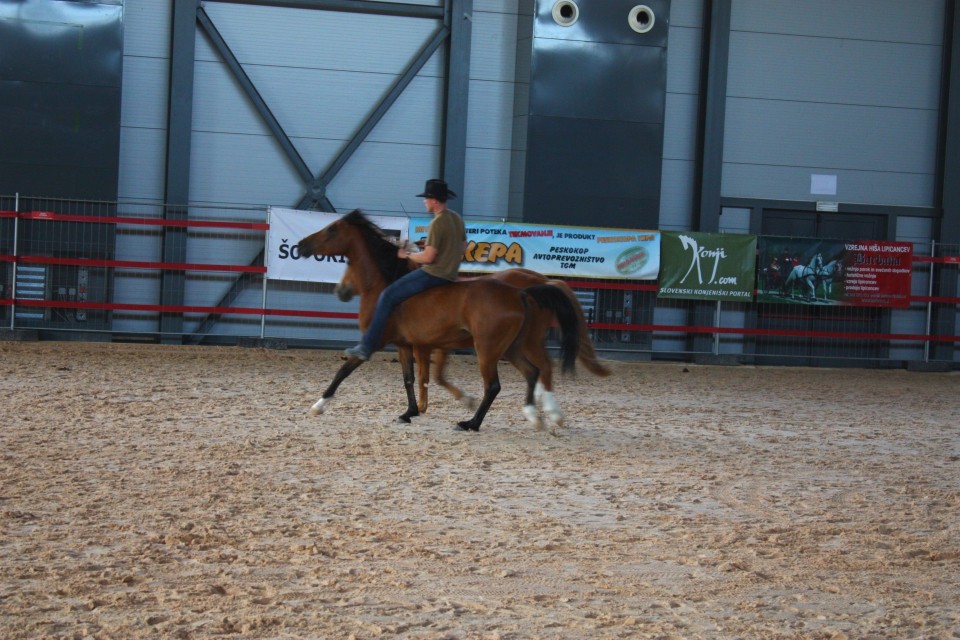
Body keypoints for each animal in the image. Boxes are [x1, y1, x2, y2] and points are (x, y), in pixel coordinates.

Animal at [294, 212, 576, 432]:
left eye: (332, 229)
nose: (300, 246)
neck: (384, 285)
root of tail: (520, 292)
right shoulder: (404, 344)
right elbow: (409, 378)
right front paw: (409, 413)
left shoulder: (375, 341)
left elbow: (345, 369)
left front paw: (318, 406)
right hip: (511, 347)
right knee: (532, 372)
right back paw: (534, 416)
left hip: (488, 350)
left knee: (494, 386)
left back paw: (471, 423)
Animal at [334, 264, 612, 416]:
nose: (342, 290)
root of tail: (543, 281)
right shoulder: (435, 345)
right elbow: (431, 376)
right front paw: (427, 405)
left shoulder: (425, 345)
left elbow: (426, 376)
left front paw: (423, 406)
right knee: (540, 368)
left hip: (520, 343)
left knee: (542, 367)